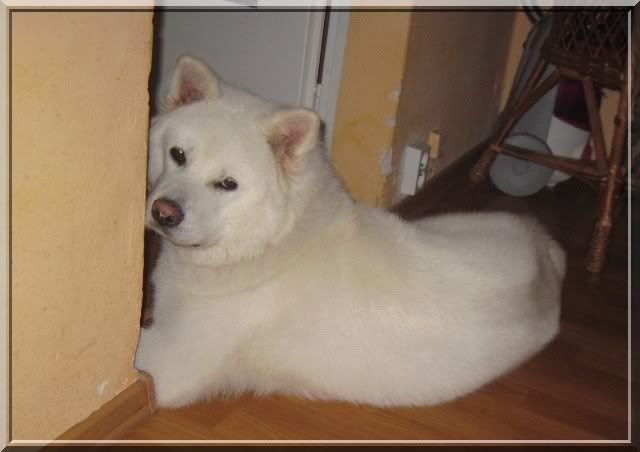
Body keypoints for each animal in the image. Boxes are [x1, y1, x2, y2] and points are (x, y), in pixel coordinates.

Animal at [134, 55, 567, 409]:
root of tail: (544, 256)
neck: (271, 243)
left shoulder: (170, 362)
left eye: (227, 184)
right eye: (177, 155)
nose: (163, 212)